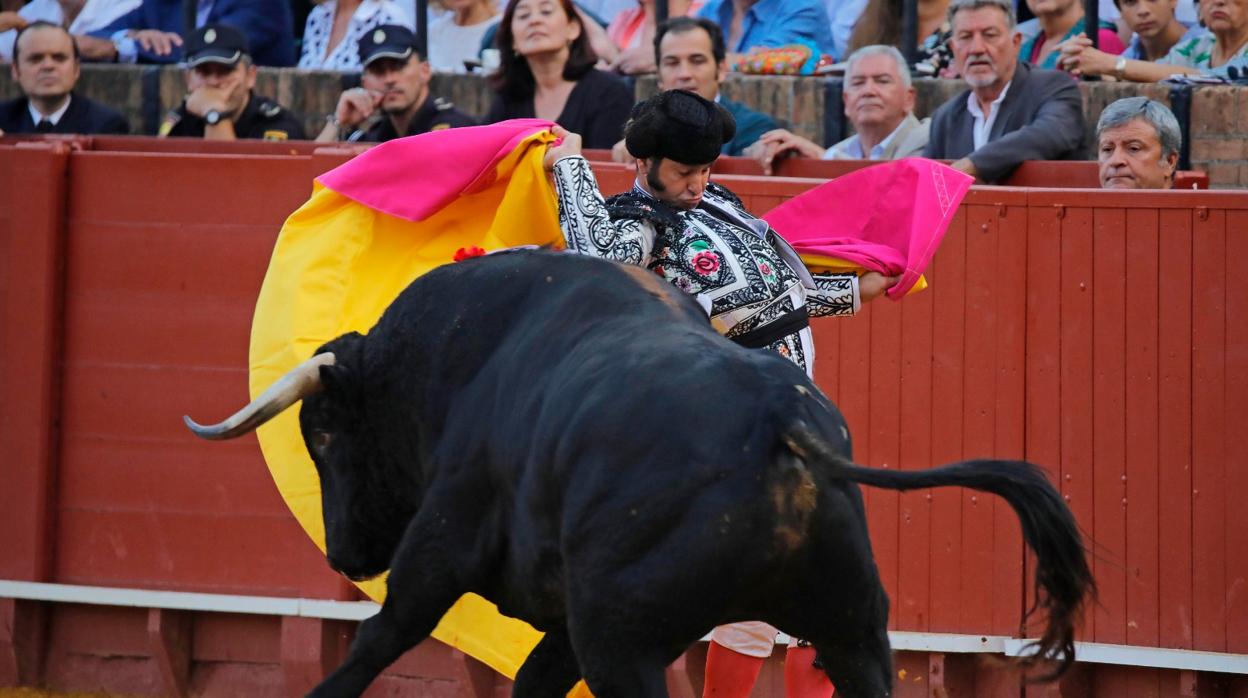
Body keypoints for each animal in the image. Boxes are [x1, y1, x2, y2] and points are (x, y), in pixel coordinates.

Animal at [184, 248, 1093, 694]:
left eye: (324, 435)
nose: (344, 556)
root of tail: (785, 424)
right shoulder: (570, 617)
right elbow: (532, 681)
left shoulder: (444, 541)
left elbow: (382, 638)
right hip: (851, 627)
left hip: (623, 640)